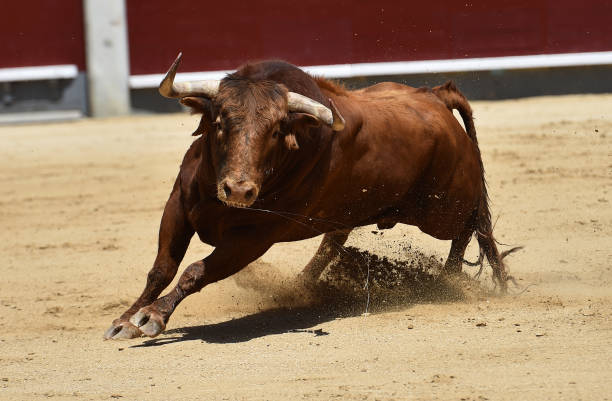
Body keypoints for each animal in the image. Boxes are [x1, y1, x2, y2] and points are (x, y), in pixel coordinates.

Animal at [104, 53, 512, 340]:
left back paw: (447, 279)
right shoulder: (178, 204)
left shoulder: (253, 239)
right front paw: (126, 320)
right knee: (333, 242)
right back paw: (299, 286)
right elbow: (162, 268)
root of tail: (435, 97)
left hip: (443, 208)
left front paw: (153, 316)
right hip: (354, 208)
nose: (239, 190)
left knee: (469, 228)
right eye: (219, 122)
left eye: (276, 131)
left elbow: (194, 271)